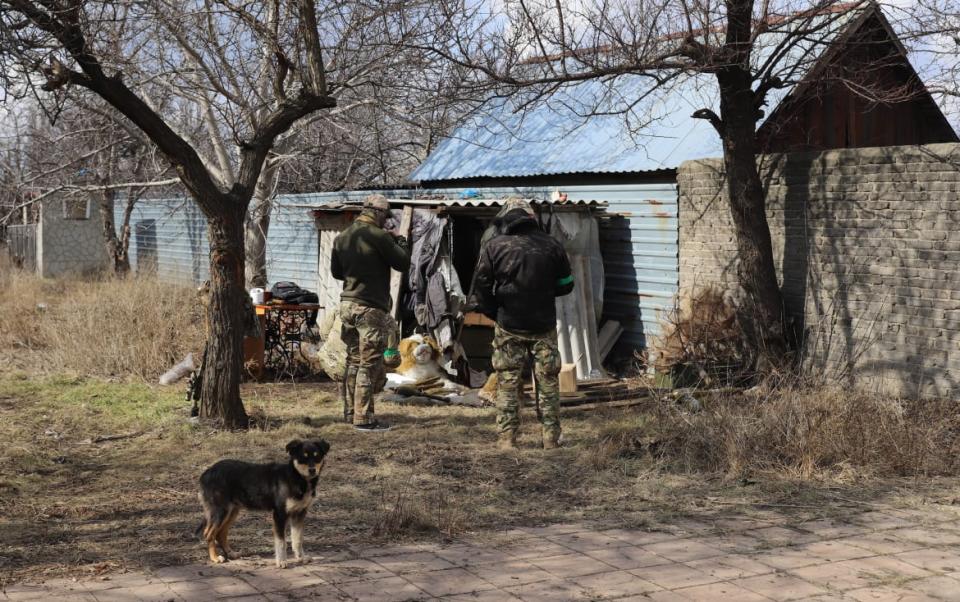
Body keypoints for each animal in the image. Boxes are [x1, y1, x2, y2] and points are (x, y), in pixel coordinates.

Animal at [195, 438, 330, 564]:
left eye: (317, 456)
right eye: (303, 457)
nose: (312, 470)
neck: (296, 477)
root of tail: (206, 472)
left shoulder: (300, 513)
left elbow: (297, 539)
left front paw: (301, 557)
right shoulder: (279, 514)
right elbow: (281, 542)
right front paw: (281, 561)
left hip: (232, 511)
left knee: (220, 533)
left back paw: (231, 553)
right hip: (220, 511)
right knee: (209, 534)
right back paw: (214, 557)